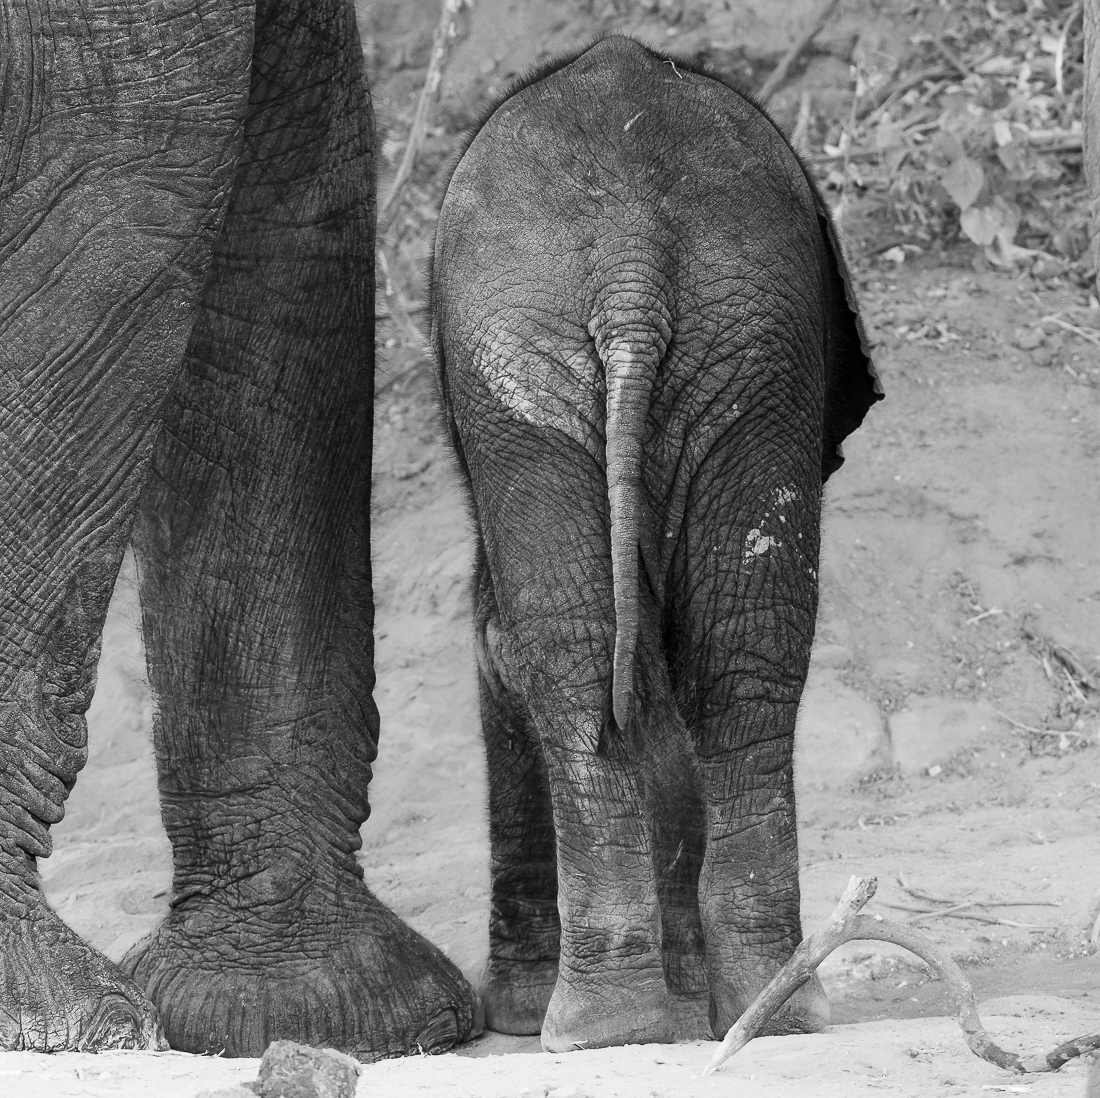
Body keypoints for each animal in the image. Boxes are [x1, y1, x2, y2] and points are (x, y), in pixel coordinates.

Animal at [430, 35, 882, 1053]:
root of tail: (630, 259)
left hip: (688, 345)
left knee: (602, 656)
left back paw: (618, 1024)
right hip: (719, 348)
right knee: (729, 649)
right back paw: (733, 1015)